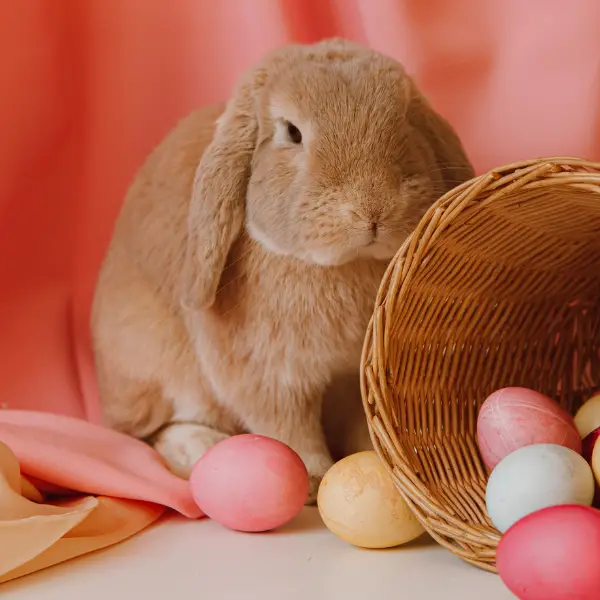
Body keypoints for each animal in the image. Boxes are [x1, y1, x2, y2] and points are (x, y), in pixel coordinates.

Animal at [90, 37, 474, 502]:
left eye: (404, 118)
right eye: (292, 132)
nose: (371, 209)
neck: (340, 264)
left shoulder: (355, 379)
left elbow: (361, 424)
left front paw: (378, 462)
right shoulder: (271, 377)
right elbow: (288, 429)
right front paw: (311, 478)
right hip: (154, 371)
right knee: (154, 432)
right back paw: (201, 447)